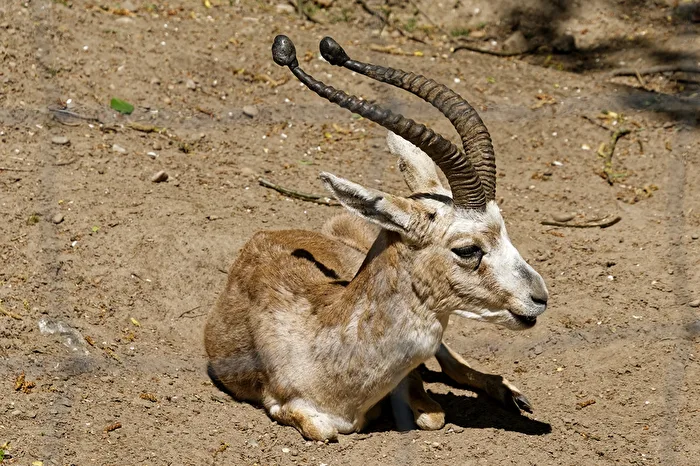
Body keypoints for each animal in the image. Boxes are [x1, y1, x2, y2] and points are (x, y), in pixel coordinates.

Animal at [204, 36, 549, 441]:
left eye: (504, 229)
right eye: (467, 249)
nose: (539, 298)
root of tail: (267, 233)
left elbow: (432, 414)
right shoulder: (286, 405)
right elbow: (323, 429)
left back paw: (513, 395)